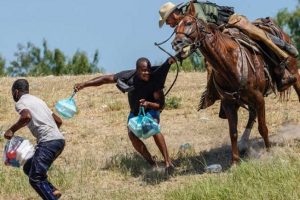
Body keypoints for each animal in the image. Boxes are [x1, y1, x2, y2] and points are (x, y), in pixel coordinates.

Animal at [171, 3, 300, 164]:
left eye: (189, 23)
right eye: (175, 28)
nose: (176, 43)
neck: (230, 62)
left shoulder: (259, 98)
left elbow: (263, 128)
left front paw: (269, 152)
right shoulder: (229, 103)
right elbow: (233, 132)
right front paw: (235, 161)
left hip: (294, 75)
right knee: (251, 114)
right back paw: (244, 144)